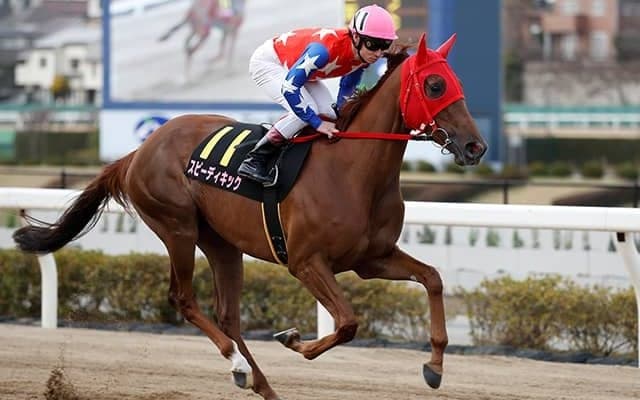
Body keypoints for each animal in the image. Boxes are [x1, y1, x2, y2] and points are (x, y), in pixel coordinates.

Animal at [13, 33, 486, 400]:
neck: (352, 171)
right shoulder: (306, 262)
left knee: (229, 316)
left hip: (221, 242)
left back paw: (260, 382)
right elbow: (349, 322)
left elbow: (432, 279)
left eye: (456, 82)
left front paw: (435, 365)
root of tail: (139, 150)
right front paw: (295, 341)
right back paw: (238, 366)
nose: (475, 147)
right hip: (177, 227)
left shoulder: (372, 259)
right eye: (434, 84)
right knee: (183, 299)